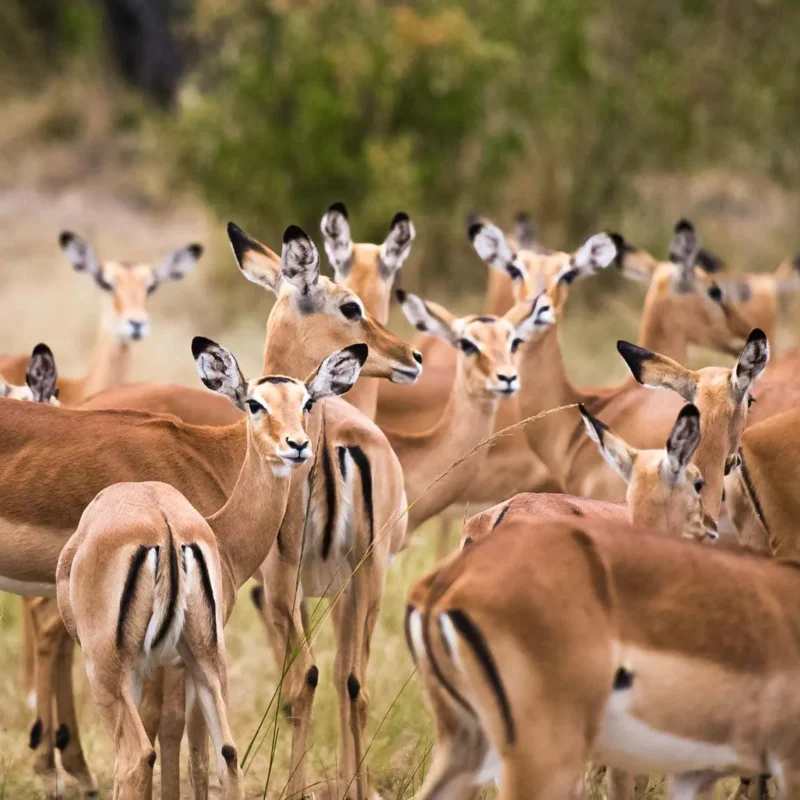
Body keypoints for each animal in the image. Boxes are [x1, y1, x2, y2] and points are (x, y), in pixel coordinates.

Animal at [55, 339, 367, 800]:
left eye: (307, 401)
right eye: (255, 403)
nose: (296, 445)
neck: (223, 538)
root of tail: (165, 526)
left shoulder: (154, 667)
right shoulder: (181, 663)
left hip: (107, 667)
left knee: (135, 757)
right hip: (206, 657)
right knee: (229, 752)